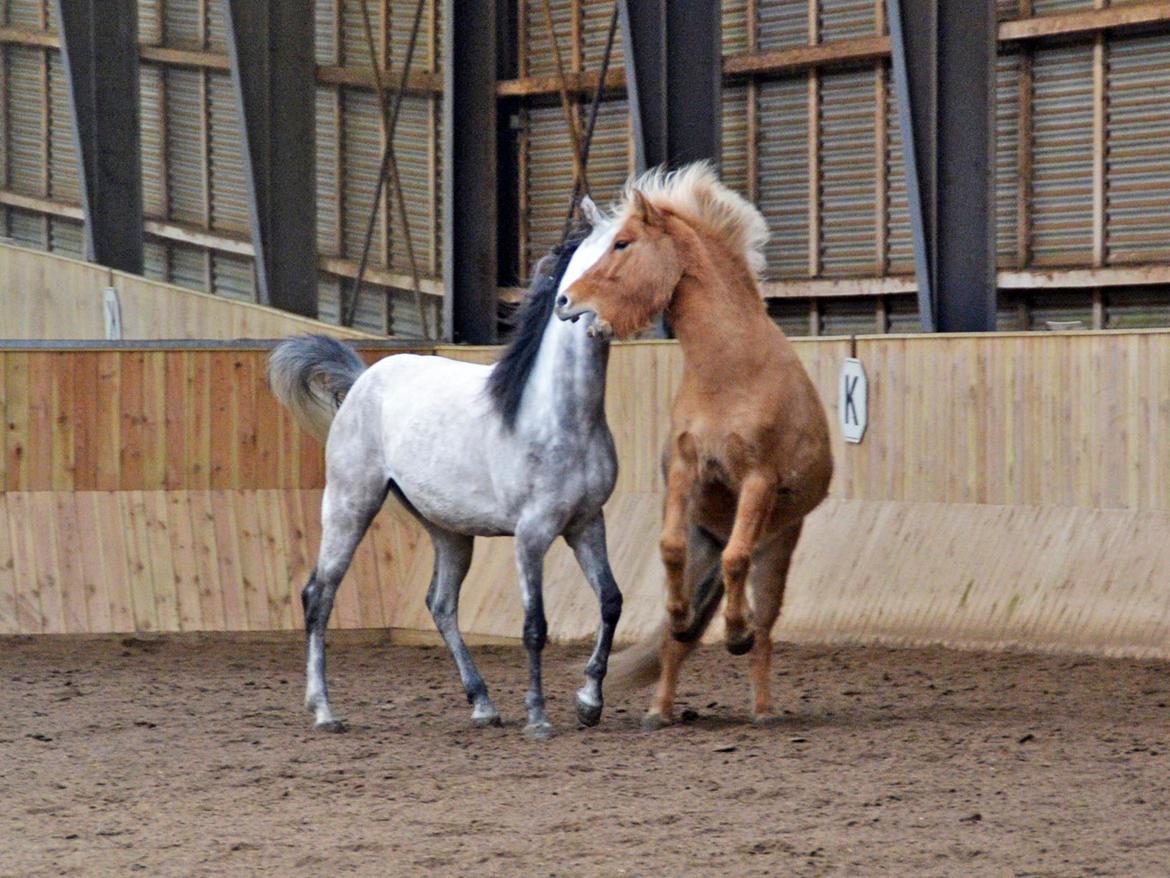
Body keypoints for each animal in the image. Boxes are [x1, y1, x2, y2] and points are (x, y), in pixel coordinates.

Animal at [270, 201, 627, 744]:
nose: (595, 321)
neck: (558, 414)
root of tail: (363, 379)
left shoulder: (587, 523)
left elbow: (610, 601)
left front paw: (589, 703)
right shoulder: (532, 534)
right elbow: (535, 626)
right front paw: (539, 718)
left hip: (448, 530)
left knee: (440, 604)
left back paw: (483, 705)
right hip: (351, 504)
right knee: (318, 596)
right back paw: (325, 711)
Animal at [556, 165, 833, 730]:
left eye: (622, 243)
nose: (565, 302)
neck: (729, 372)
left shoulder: (757, 481)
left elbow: (737, 559)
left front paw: (735, 632)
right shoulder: (687, 472)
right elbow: (669, 548)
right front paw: (681, 618)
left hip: (778, 549)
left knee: (764, 625)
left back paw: (761, 703)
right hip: (708, 537)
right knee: (678, 643)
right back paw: (660, 709)